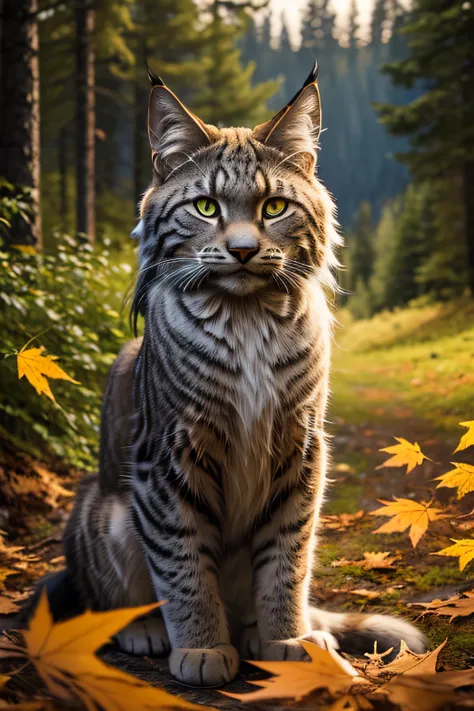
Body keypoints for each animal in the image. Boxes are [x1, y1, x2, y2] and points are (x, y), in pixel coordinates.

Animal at [60, 64, 426, 688]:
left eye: (274, 207)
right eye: (206, 207)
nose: (243, 250)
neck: (249, 316)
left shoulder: (302, 446)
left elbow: (287, 558)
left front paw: (286, 638)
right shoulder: (168, 456)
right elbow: (183, 563)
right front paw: (203, 648)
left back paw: (288, 631)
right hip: (100, 507)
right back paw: (146, 629)